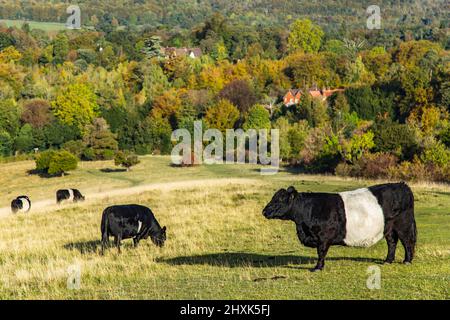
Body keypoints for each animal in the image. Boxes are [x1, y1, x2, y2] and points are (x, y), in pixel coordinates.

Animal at [262, 184, 416, 272]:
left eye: (280, 199)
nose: (264, 211)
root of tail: (403, 185)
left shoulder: (323, 237)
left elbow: (321, 252)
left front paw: (317, 268)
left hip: (403, 224)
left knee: (407, 242)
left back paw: (407, 261)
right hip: (389, 227)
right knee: (392, 242)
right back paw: (388, 261)